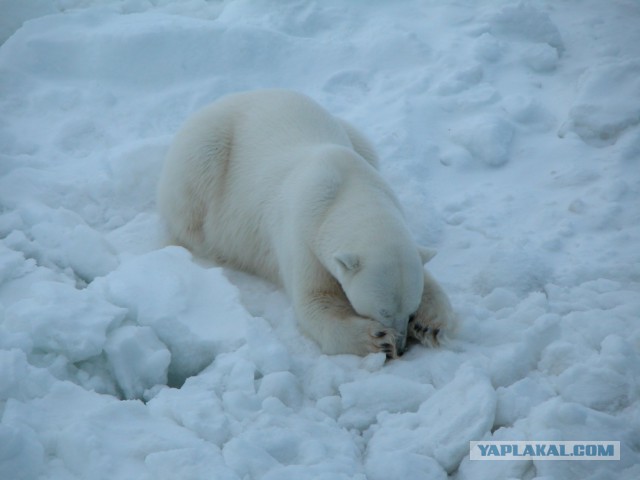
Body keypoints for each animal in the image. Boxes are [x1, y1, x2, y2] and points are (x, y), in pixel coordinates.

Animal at [157, 90, 452, 358]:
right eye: (383, 311)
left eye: (410, 310)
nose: (401, 347)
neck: (346, 187)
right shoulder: (302, 233)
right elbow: (315, 300)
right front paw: (378, 339)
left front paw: (432, 325)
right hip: (205, 151)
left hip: (354, 136)